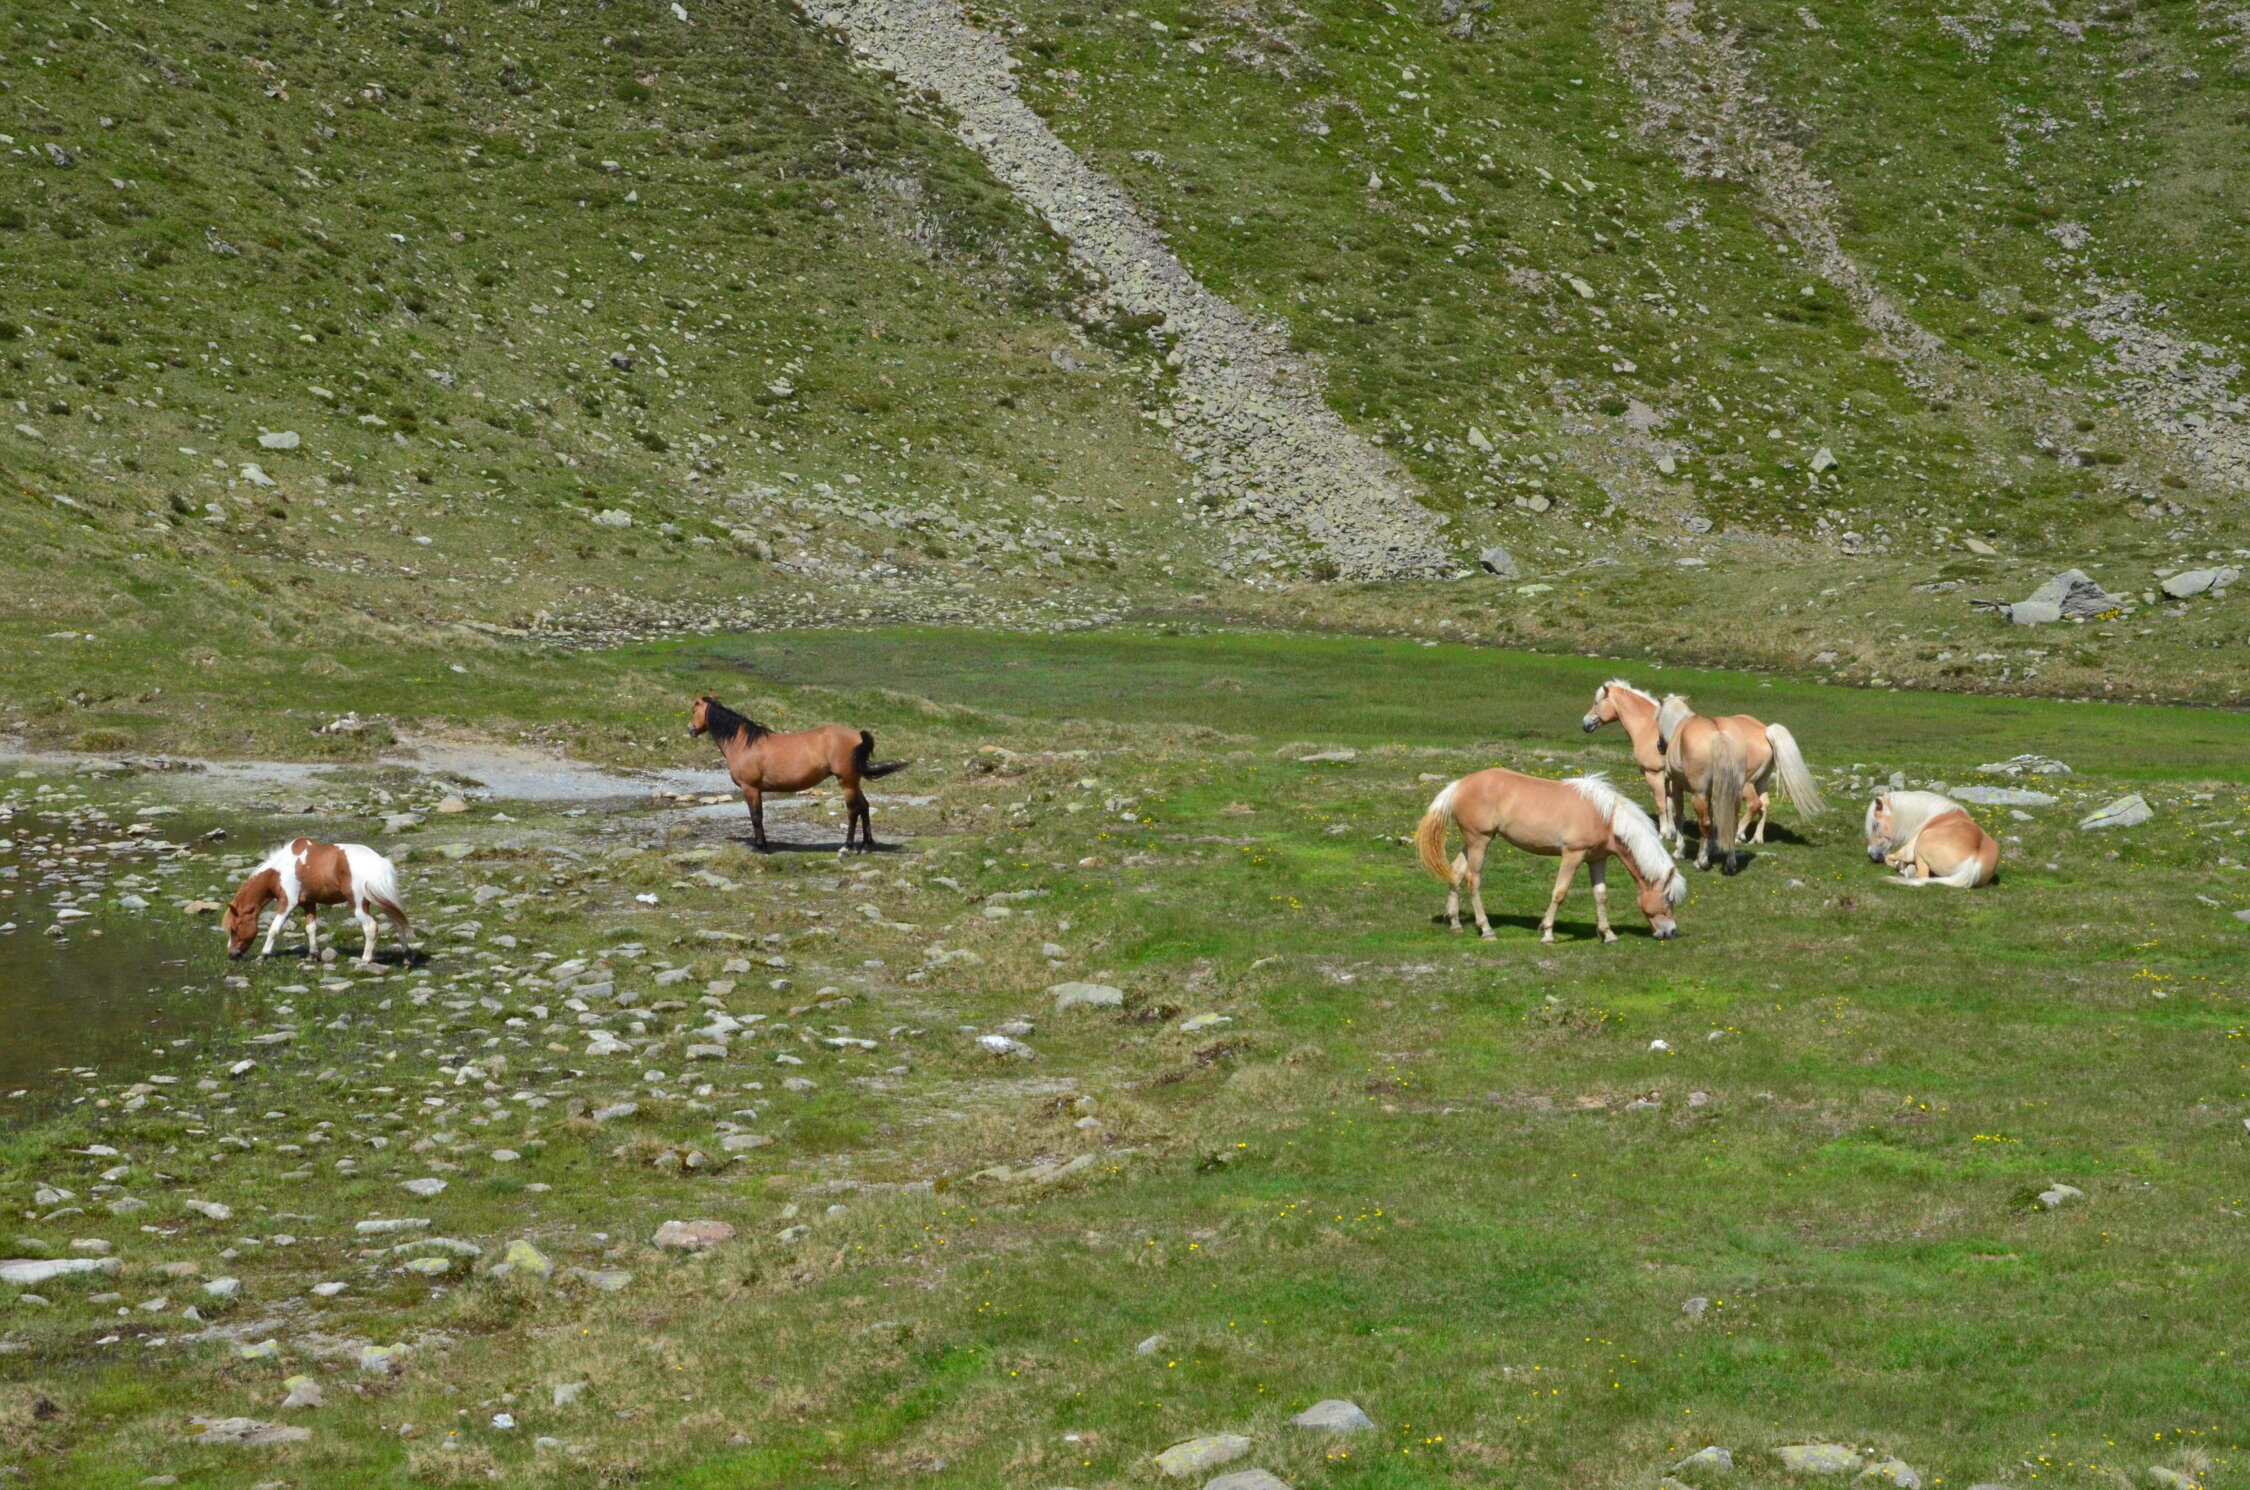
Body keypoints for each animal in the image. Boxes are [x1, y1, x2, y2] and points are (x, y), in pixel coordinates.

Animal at [222, 841, 414, 967]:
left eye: (235, 929)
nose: (231, 954)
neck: (280, 869)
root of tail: (380, 862)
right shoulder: (309, 903)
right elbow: (311, 929)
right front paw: (312, 955)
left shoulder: (287, 902)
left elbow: (274, 929)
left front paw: (263, 956)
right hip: (383, 902)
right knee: (398, 924)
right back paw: (406, 958)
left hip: (359, 904)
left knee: (371, 927)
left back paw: (365, 960)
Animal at [688, 697, 909, 859]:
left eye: (693, 709)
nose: (690, 729)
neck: (744, 743)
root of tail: (857, 736)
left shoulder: (750, 788)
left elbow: (756, 817)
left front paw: (761, 848)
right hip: (853, 782)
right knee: (864, 806)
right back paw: (865, 845)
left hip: (846, 782)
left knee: (853, 810)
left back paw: (847, 846)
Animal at [1413, 769, 1683, 945]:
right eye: (1668, 899)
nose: (1670, 932)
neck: (1604, 816)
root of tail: (1459, 785)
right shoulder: (1572, 855)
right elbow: (1560, 892)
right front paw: (1548, 933)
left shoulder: (1597, 859)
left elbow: (1600, 895)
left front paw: (1608, 934)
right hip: (1480, 840)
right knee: (1473, 879)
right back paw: (1486, 929)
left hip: (1473, 841)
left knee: (1456, 872)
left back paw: (1455, 922)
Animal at [1593, 684, 1683, 846]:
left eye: (1596, 703)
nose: (1585, 724)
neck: (1648, 728)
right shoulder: (1669, 778)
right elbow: (1669, 803)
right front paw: (1672, 832)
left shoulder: (1654, 775)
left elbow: (1661, 804)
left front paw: (1663, 833)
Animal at [1656, 697, 1827, 877]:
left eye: (1657, 717)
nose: (1659, 746)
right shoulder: (1713, 793)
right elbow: (1716, 818)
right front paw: (1714, 847)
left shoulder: (1678, 787)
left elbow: (1681, 817)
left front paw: (1680, 851)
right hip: (1747, 787)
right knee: (1751, 811)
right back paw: (1742, 852)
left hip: (1721, 790)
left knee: (1743, 809)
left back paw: (1703, 860)